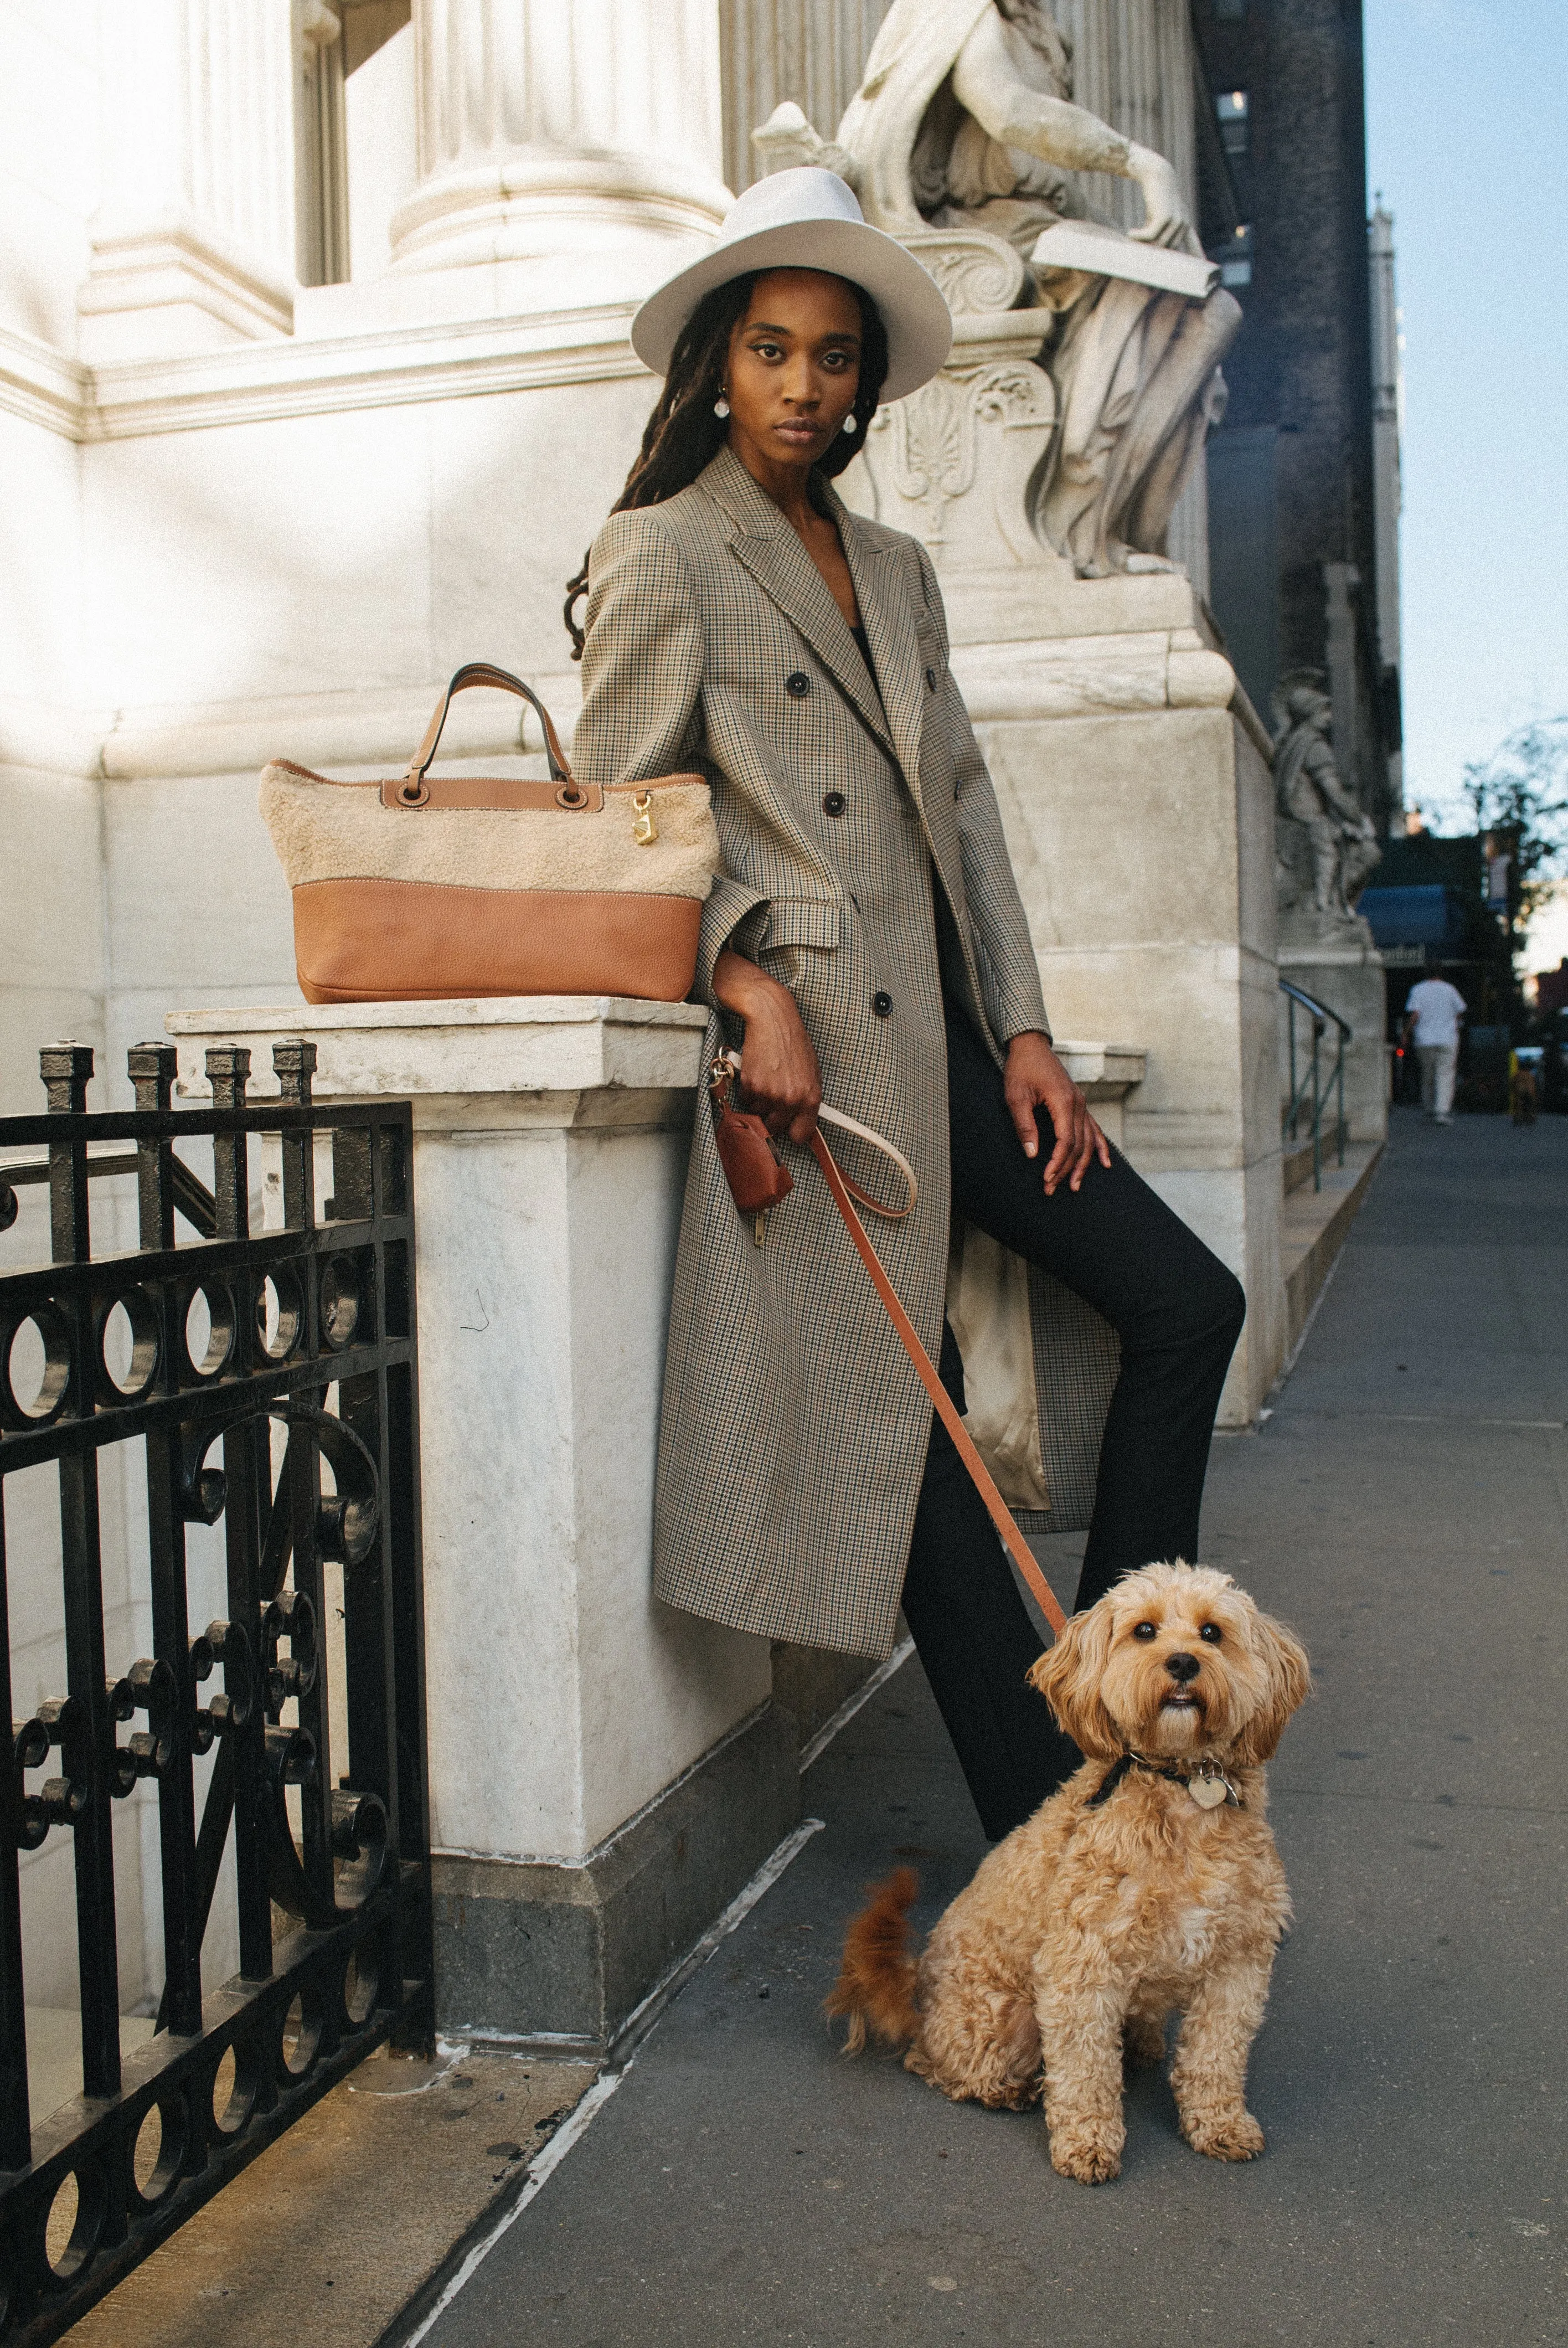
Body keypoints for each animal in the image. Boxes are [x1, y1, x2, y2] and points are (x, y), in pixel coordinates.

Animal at [831, 1559, 1314, 2179]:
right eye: (1144, 1631)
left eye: (1212, 1632)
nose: (1183, 1662)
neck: (1183, 1787)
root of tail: (919, 1997)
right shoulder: (1081, 1965)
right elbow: (1084, 2069)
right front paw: (1089, 2141)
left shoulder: (1238, 1964)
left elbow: (1216, 2055)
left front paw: (1221, 2123)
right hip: (1004, 2014)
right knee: (940, 2065)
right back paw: (1010, 2089)